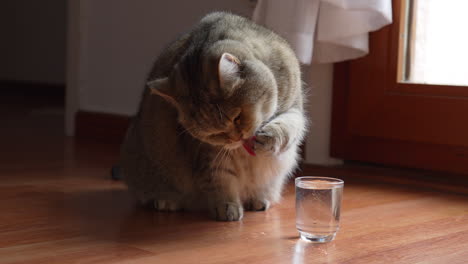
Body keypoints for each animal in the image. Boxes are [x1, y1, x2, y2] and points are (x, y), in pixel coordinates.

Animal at [119, 11, 308, 221]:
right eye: (214, 134)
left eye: (237, 117)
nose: (236, 138)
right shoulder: (207, 154)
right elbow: (220, 180)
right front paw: (227, 207)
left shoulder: (295, 107)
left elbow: (289, 125)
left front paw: (270, 137)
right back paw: (165, 201)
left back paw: (258, 200)